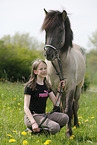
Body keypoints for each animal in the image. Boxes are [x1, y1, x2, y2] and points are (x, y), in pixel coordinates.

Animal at [41, 9, 85, 137]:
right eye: (46, 30)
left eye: (61, 30)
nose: (49, 54)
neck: (61, 62)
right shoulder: (55, 87)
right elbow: (59, 108)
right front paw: (60, 128)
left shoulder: (70, 87)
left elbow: (68, 110)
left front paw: (69, 133)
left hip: (78, 87)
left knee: (75, 105)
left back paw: (76, 124)